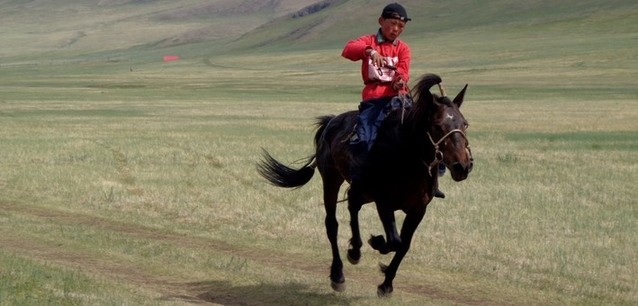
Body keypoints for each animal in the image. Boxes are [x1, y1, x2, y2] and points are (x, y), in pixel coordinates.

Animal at [258, 74, 472, 296]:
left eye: (465, 124)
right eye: (438, 125)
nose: (462, 166)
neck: (406, 157)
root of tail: (330, 122)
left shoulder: (418, 209)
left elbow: (404, 245)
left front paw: (386, 283)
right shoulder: (383, 202)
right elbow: (394, 241)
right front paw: (376, 242)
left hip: (361, 190)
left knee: (353, 204)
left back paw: (355, 250)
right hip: (332, 179)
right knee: (332, 224)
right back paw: (338, 274)